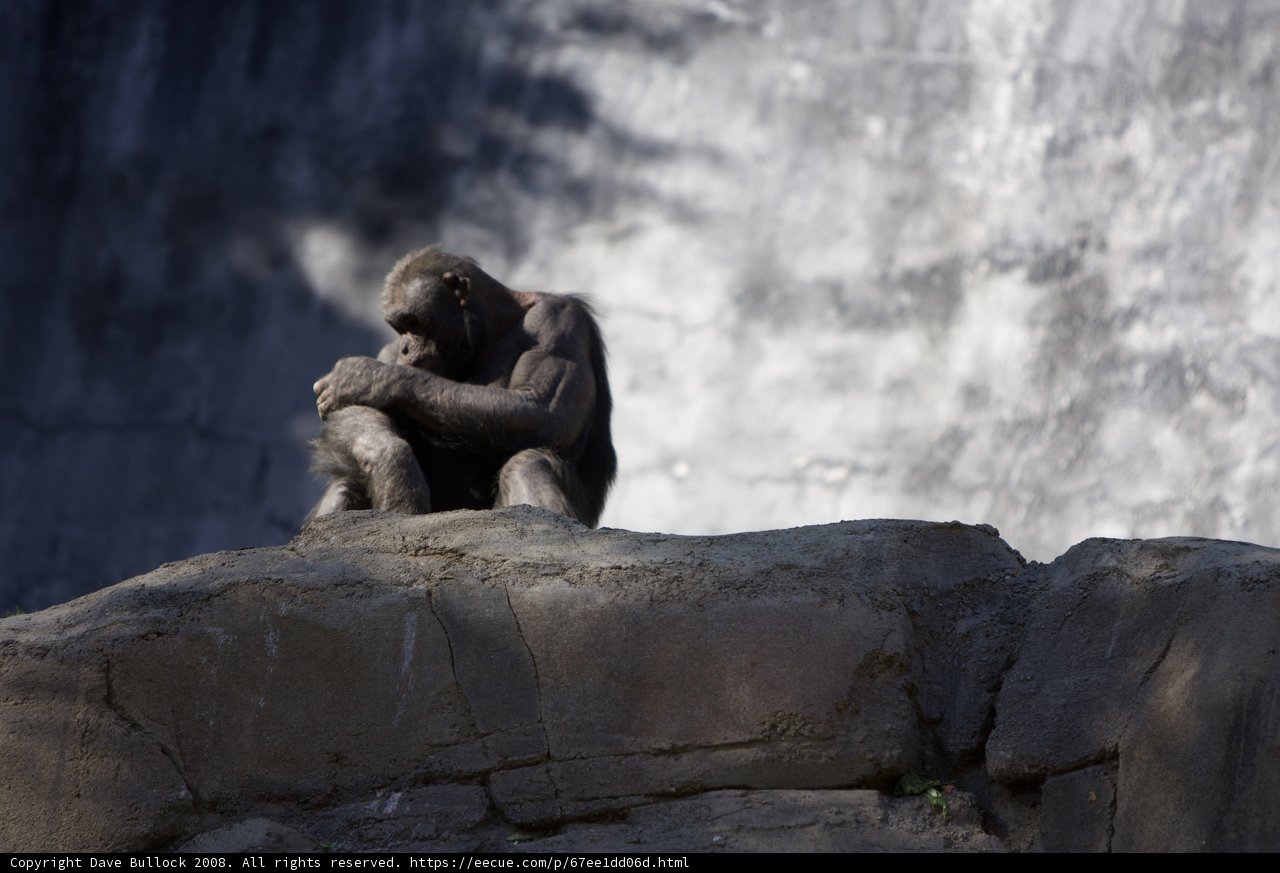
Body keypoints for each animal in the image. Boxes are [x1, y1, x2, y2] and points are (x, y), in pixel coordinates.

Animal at [307, 245, 616, 528]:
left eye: (411, 322)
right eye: (398, 327)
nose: (405, 347)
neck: (491, 330)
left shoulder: (558, 321)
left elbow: (544, 407)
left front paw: (362, 376)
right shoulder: (388, 351)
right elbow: (356, 413)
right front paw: (393, 467)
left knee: (528, 462)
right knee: (347, 477)